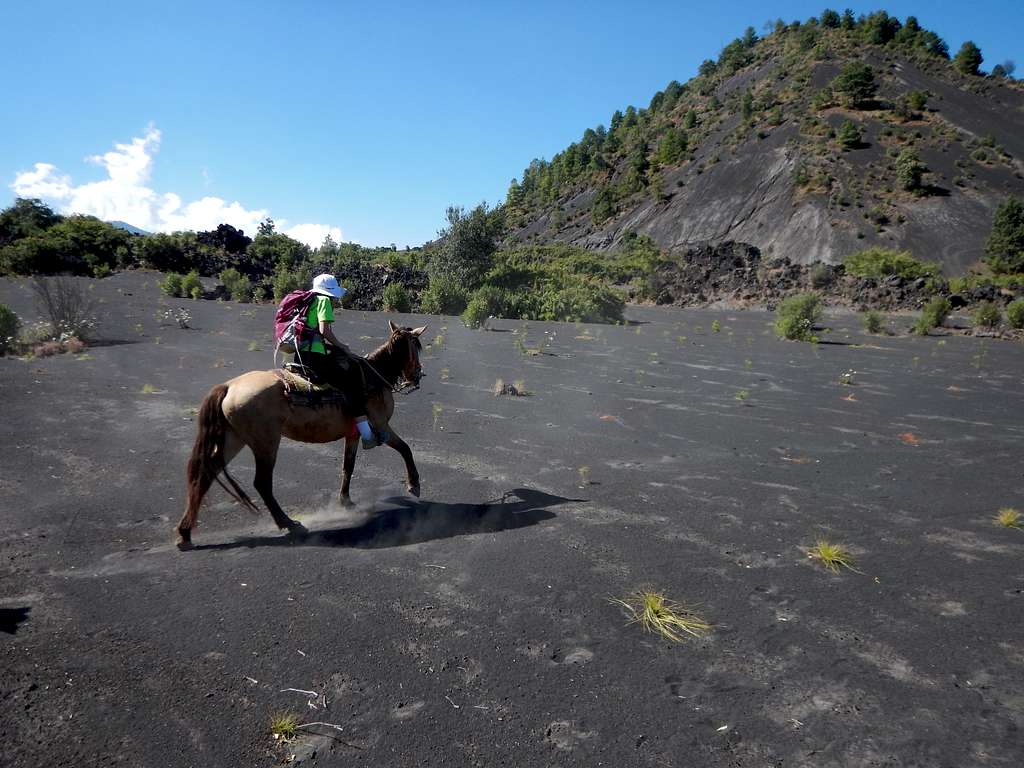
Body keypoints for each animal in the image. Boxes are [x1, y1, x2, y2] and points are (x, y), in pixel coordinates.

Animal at [178, 321, 425, 548]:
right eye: (416, 347)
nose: (417, 376)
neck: (375, 377)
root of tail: (229, 386)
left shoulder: (353, 435)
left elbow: (348, 467)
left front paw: (345, 501)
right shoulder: (381, 426)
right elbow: (405, 448)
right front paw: (414, 485)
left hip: (234, 439)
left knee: (206, 474)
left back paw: (185, 533)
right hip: (266, 443)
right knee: (262, 483)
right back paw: (290, 524)